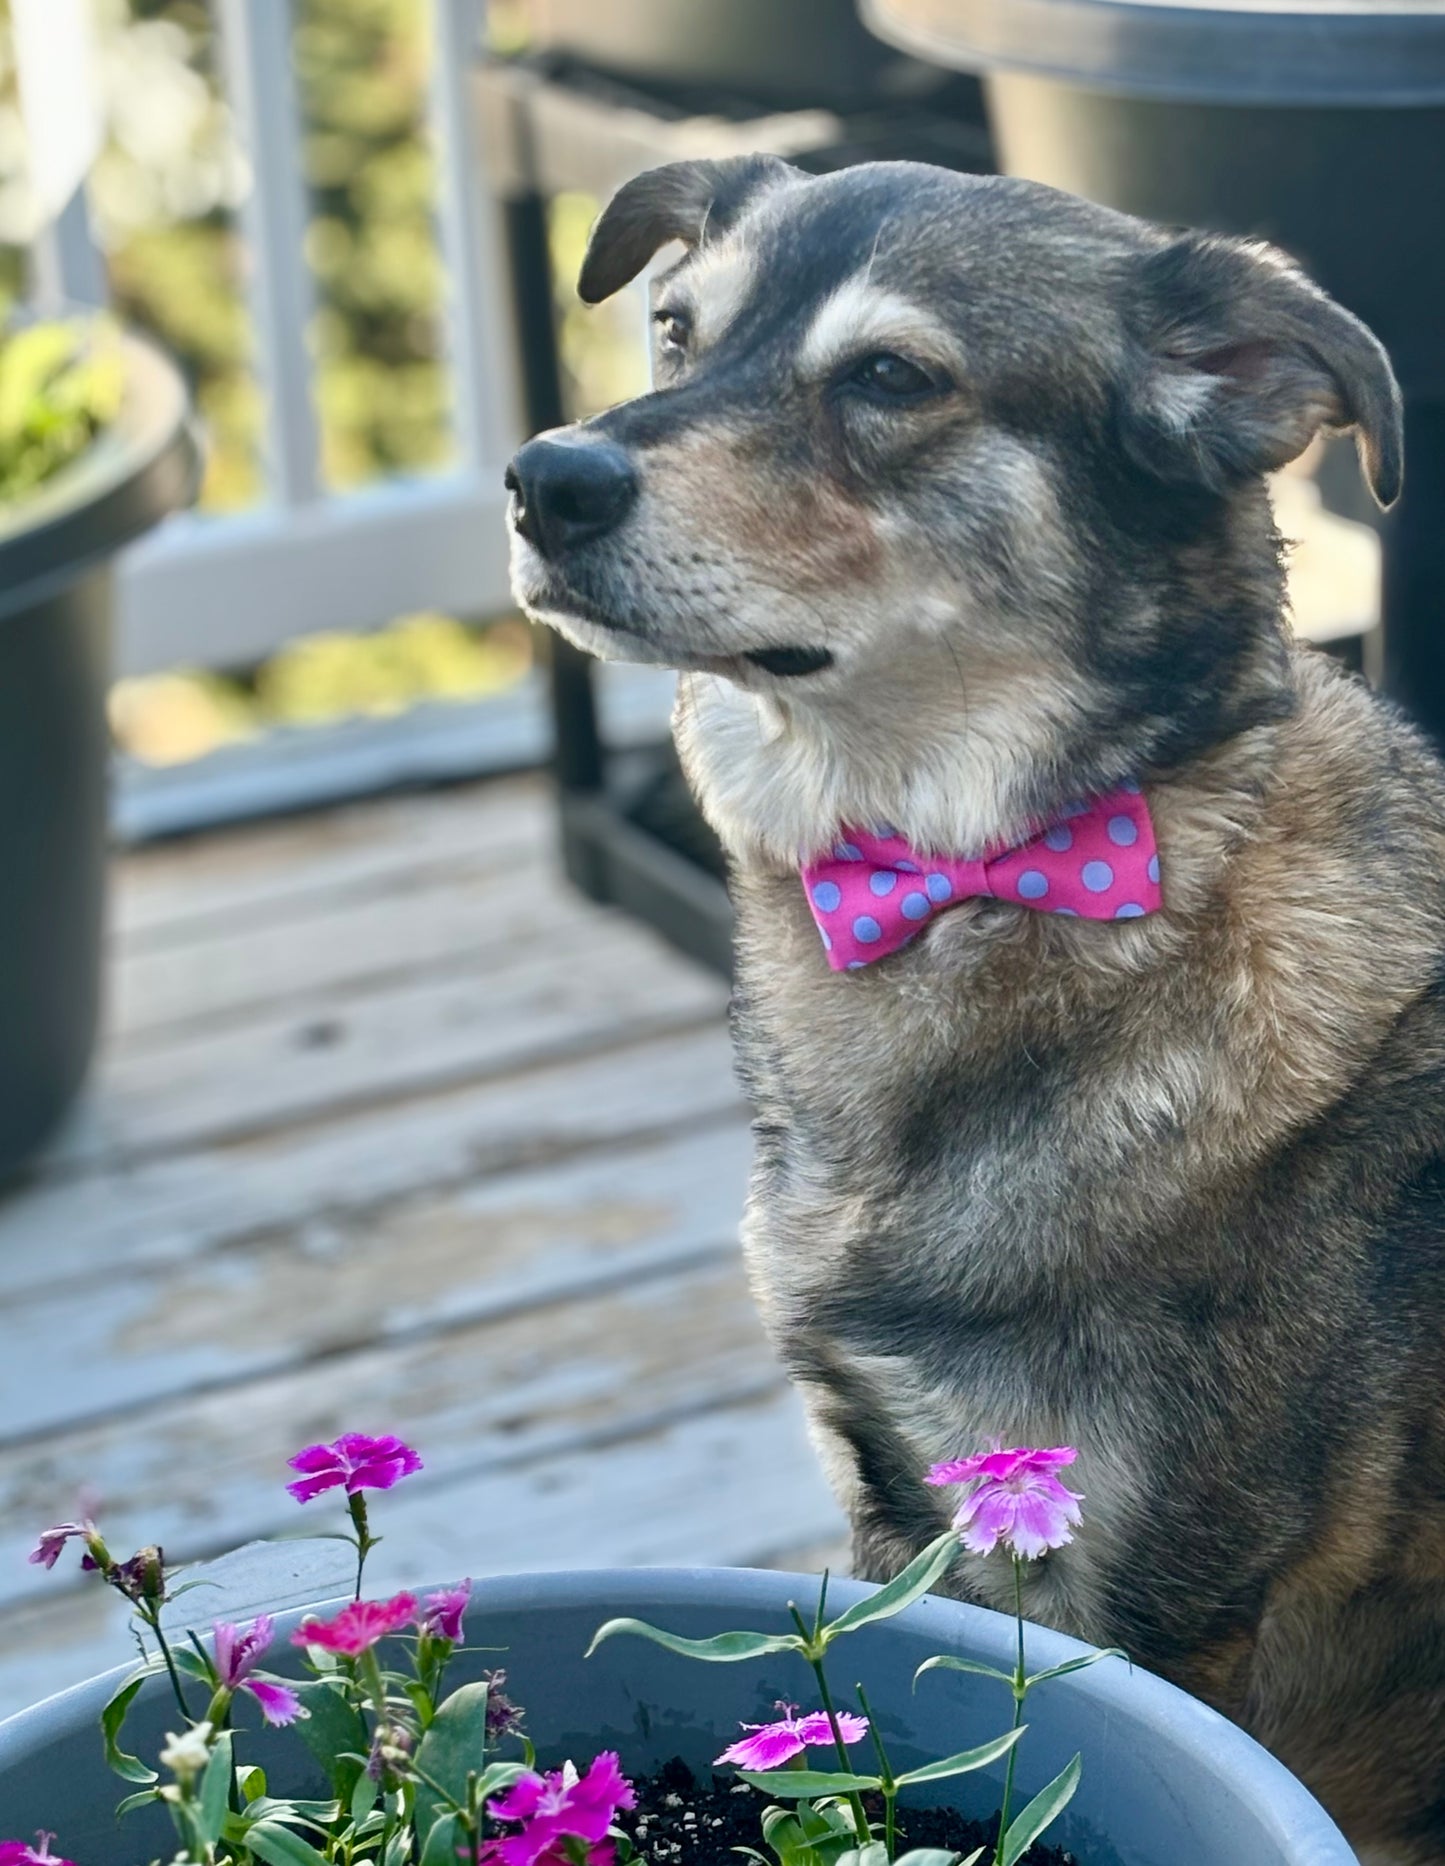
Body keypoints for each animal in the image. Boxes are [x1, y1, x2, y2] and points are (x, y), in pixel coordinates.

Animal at [507, 164, 1445, 1866]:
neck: (1003, 878)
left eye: (891, 376)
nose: (545, 479)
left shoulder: (1157, 1591)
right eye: (675, 328)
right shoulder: (898, 1503)